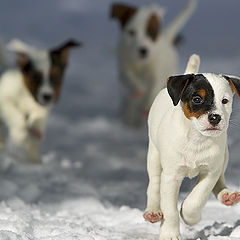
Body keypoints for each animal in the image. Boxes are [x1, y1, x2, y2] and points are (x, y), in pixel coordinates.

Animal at [143, 54, 240, 240]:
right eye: (197, 99)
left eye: (225, 101)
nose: (215, 117)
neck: (197, 139)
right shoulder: (171, 177)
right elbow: (170, 211)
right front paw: (170, 234)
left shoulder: (210, 172)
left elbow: (197, 198)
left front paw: (190, 216)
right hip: (154, 156)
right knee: (154, 183)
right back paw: (153, 211)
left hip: (224, 156)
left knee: (220, 179)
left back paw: (227, 196)